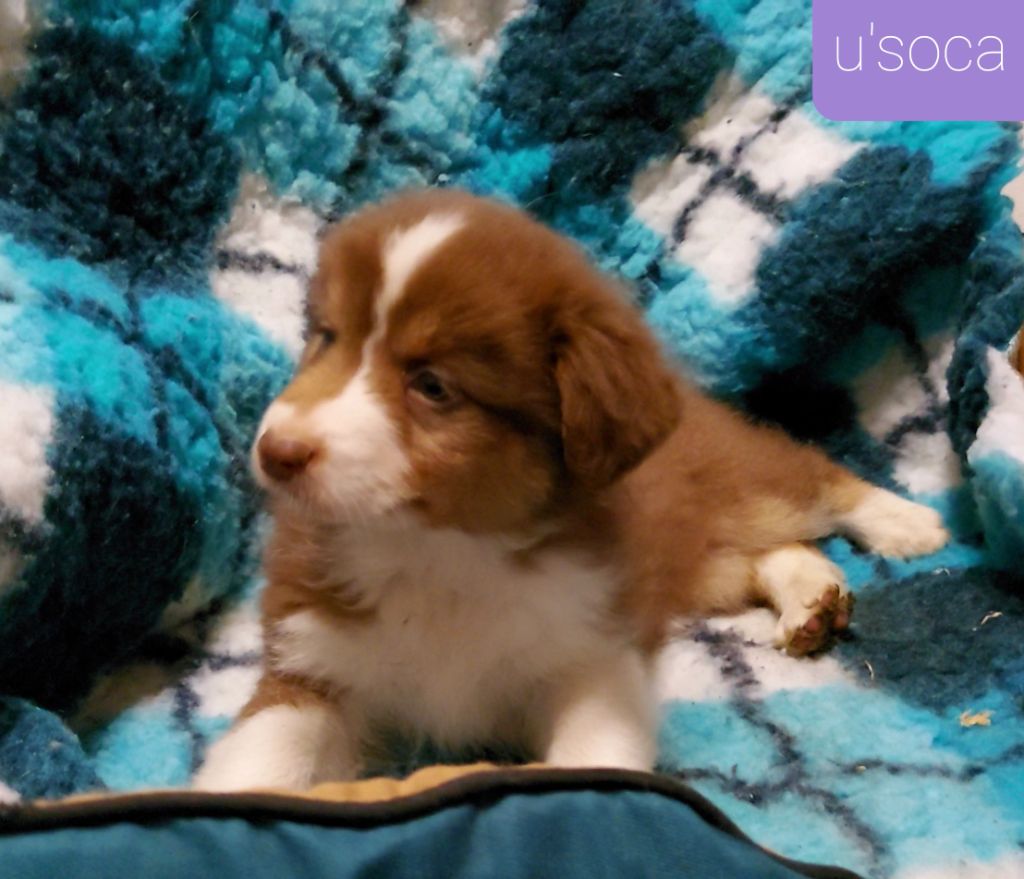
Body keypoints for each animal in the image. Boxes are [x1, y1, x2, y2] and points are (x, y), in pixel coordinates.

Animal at [193, 189, 948, 791]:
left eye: (433, 386)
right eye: (327, 338)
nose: (275, 452)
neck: (440, 554)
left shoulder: (592, 658)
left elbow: (595, 754)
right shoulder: (311, 666)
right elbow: (259, 757)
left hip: (745, 480)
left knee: (812, 474)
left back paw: (909, 523)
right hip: (693, 567)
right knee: (771, 552)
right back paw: (812, 598)